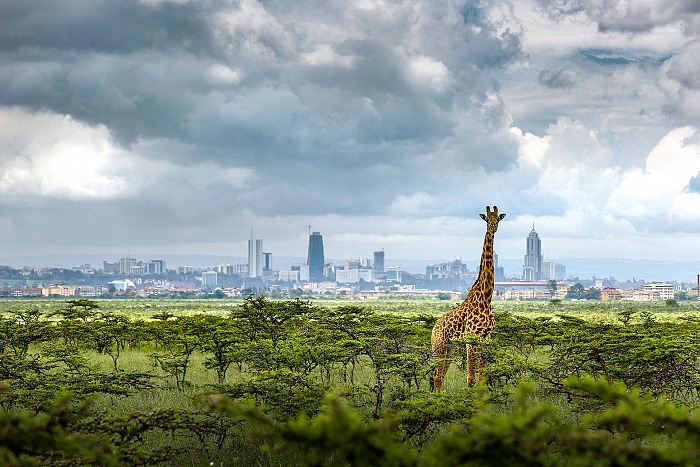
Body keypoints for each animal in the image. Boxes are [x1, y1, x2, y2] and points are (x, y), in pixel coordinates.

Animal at [430, 207, 506, 394]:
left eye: (498, 219)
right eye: (487, 219)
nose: (493, 228)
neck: (486, 298)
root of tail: (434, 327)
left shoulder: (486, 338)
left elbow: (482, 378)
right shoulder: (471, 338)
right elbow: (470, 379)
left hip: (451, 348)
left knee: (440, 375)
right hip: (439, 346)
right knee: (436, 375)